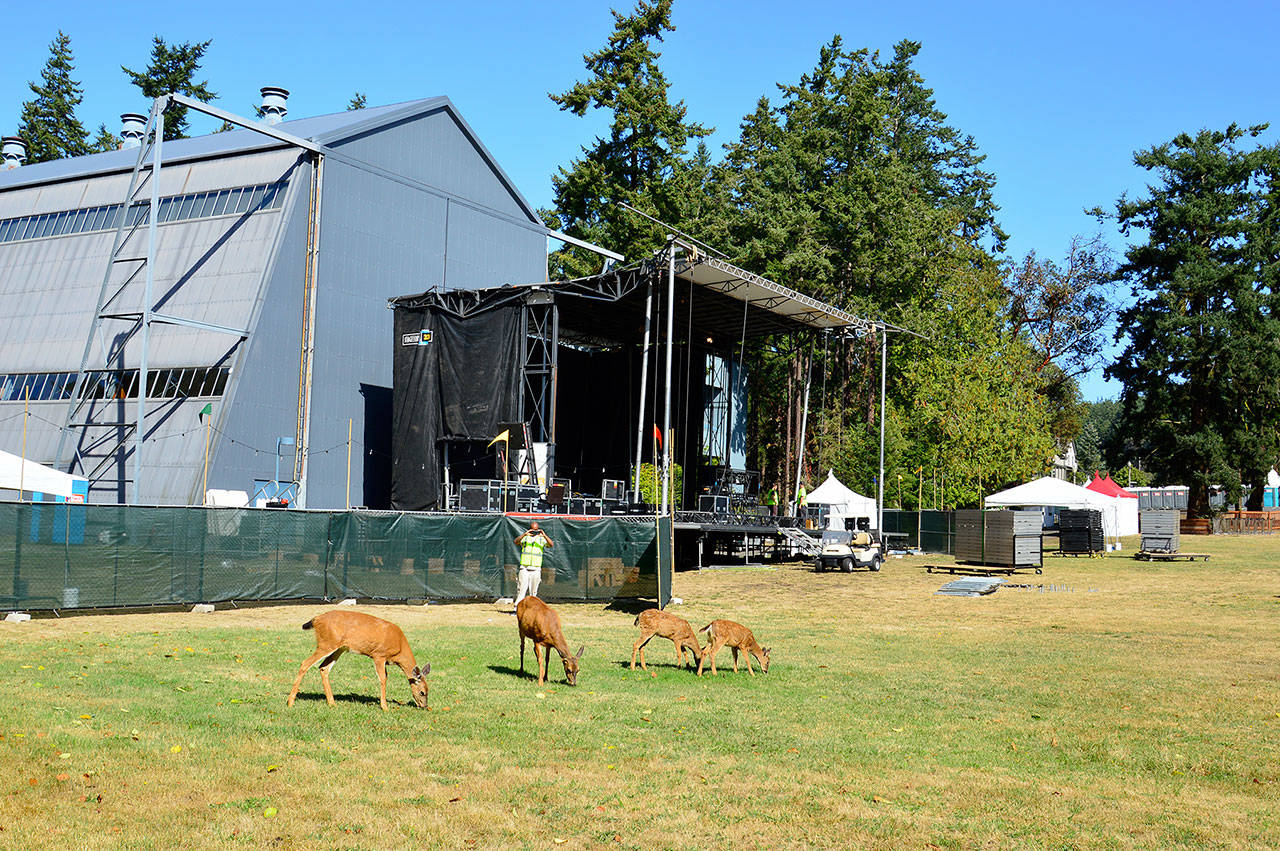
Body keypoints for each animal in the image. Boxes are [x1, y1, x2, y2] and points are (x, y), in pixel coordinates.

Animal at [285, 611, 430, 711]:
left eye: (428, 691)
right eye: (422, 692)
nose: (424, 706)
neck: (399, 648)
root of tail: (316, 619)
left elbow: (385, 677)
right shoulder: (379, 655)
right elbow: (383, 679)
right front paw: (384, 707)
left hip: (338, 648)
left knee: (323, 668)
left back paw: (332, 703)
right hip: (327, 643)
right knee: (305, 663)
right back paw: (290, 702)